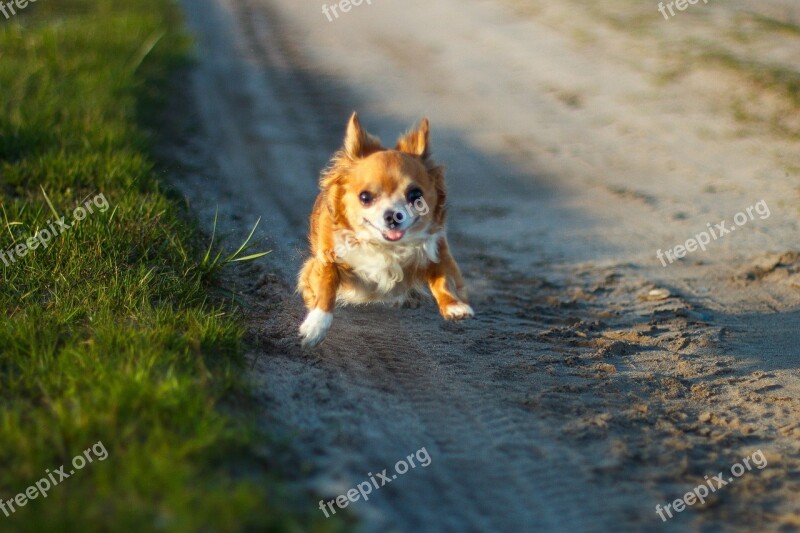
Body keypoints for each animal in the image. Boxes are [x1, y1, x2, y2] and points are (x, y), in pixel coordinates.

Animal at [300, 112, 476, 348]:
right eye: (365, 197)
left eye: (415, 195)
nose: (393, 215)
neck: (385, 246)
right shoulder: (325, 260)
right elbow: (325, 287)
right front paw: (315, 326)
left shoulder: (437, 250)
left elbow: (443, 278)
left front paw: (454, 305)